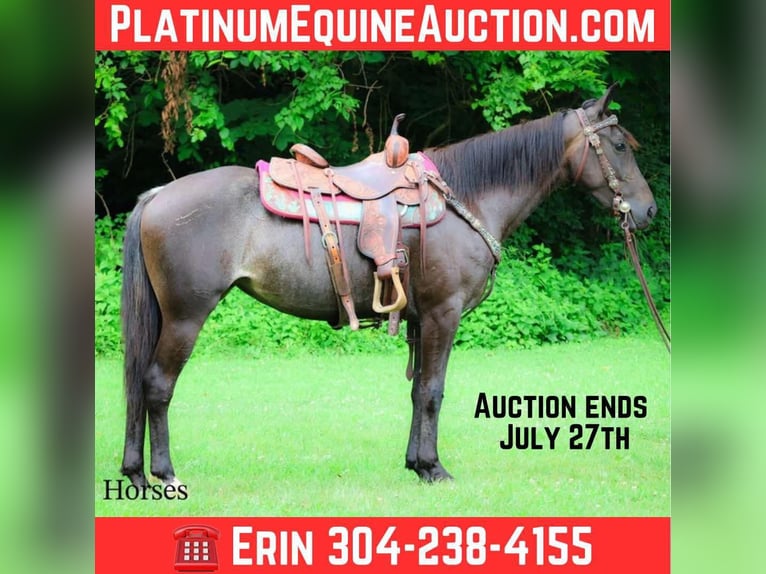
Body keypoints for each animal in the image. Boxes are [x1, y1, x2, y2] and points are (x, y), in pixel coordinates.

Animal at [119, 85, 658, 487]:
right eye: (618, 146)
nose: (648, 211)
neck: (468, 197)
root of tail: (158, 195)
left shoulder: (421, 320)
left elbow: (417, 390)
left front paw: (416, 464)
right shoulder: (443, 314)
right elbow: (434, 390)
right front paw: (434, 468)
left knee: (138, 385)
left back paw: (136, 473)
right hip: (186, 317)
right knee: (157, 386)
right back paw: (164, 474)